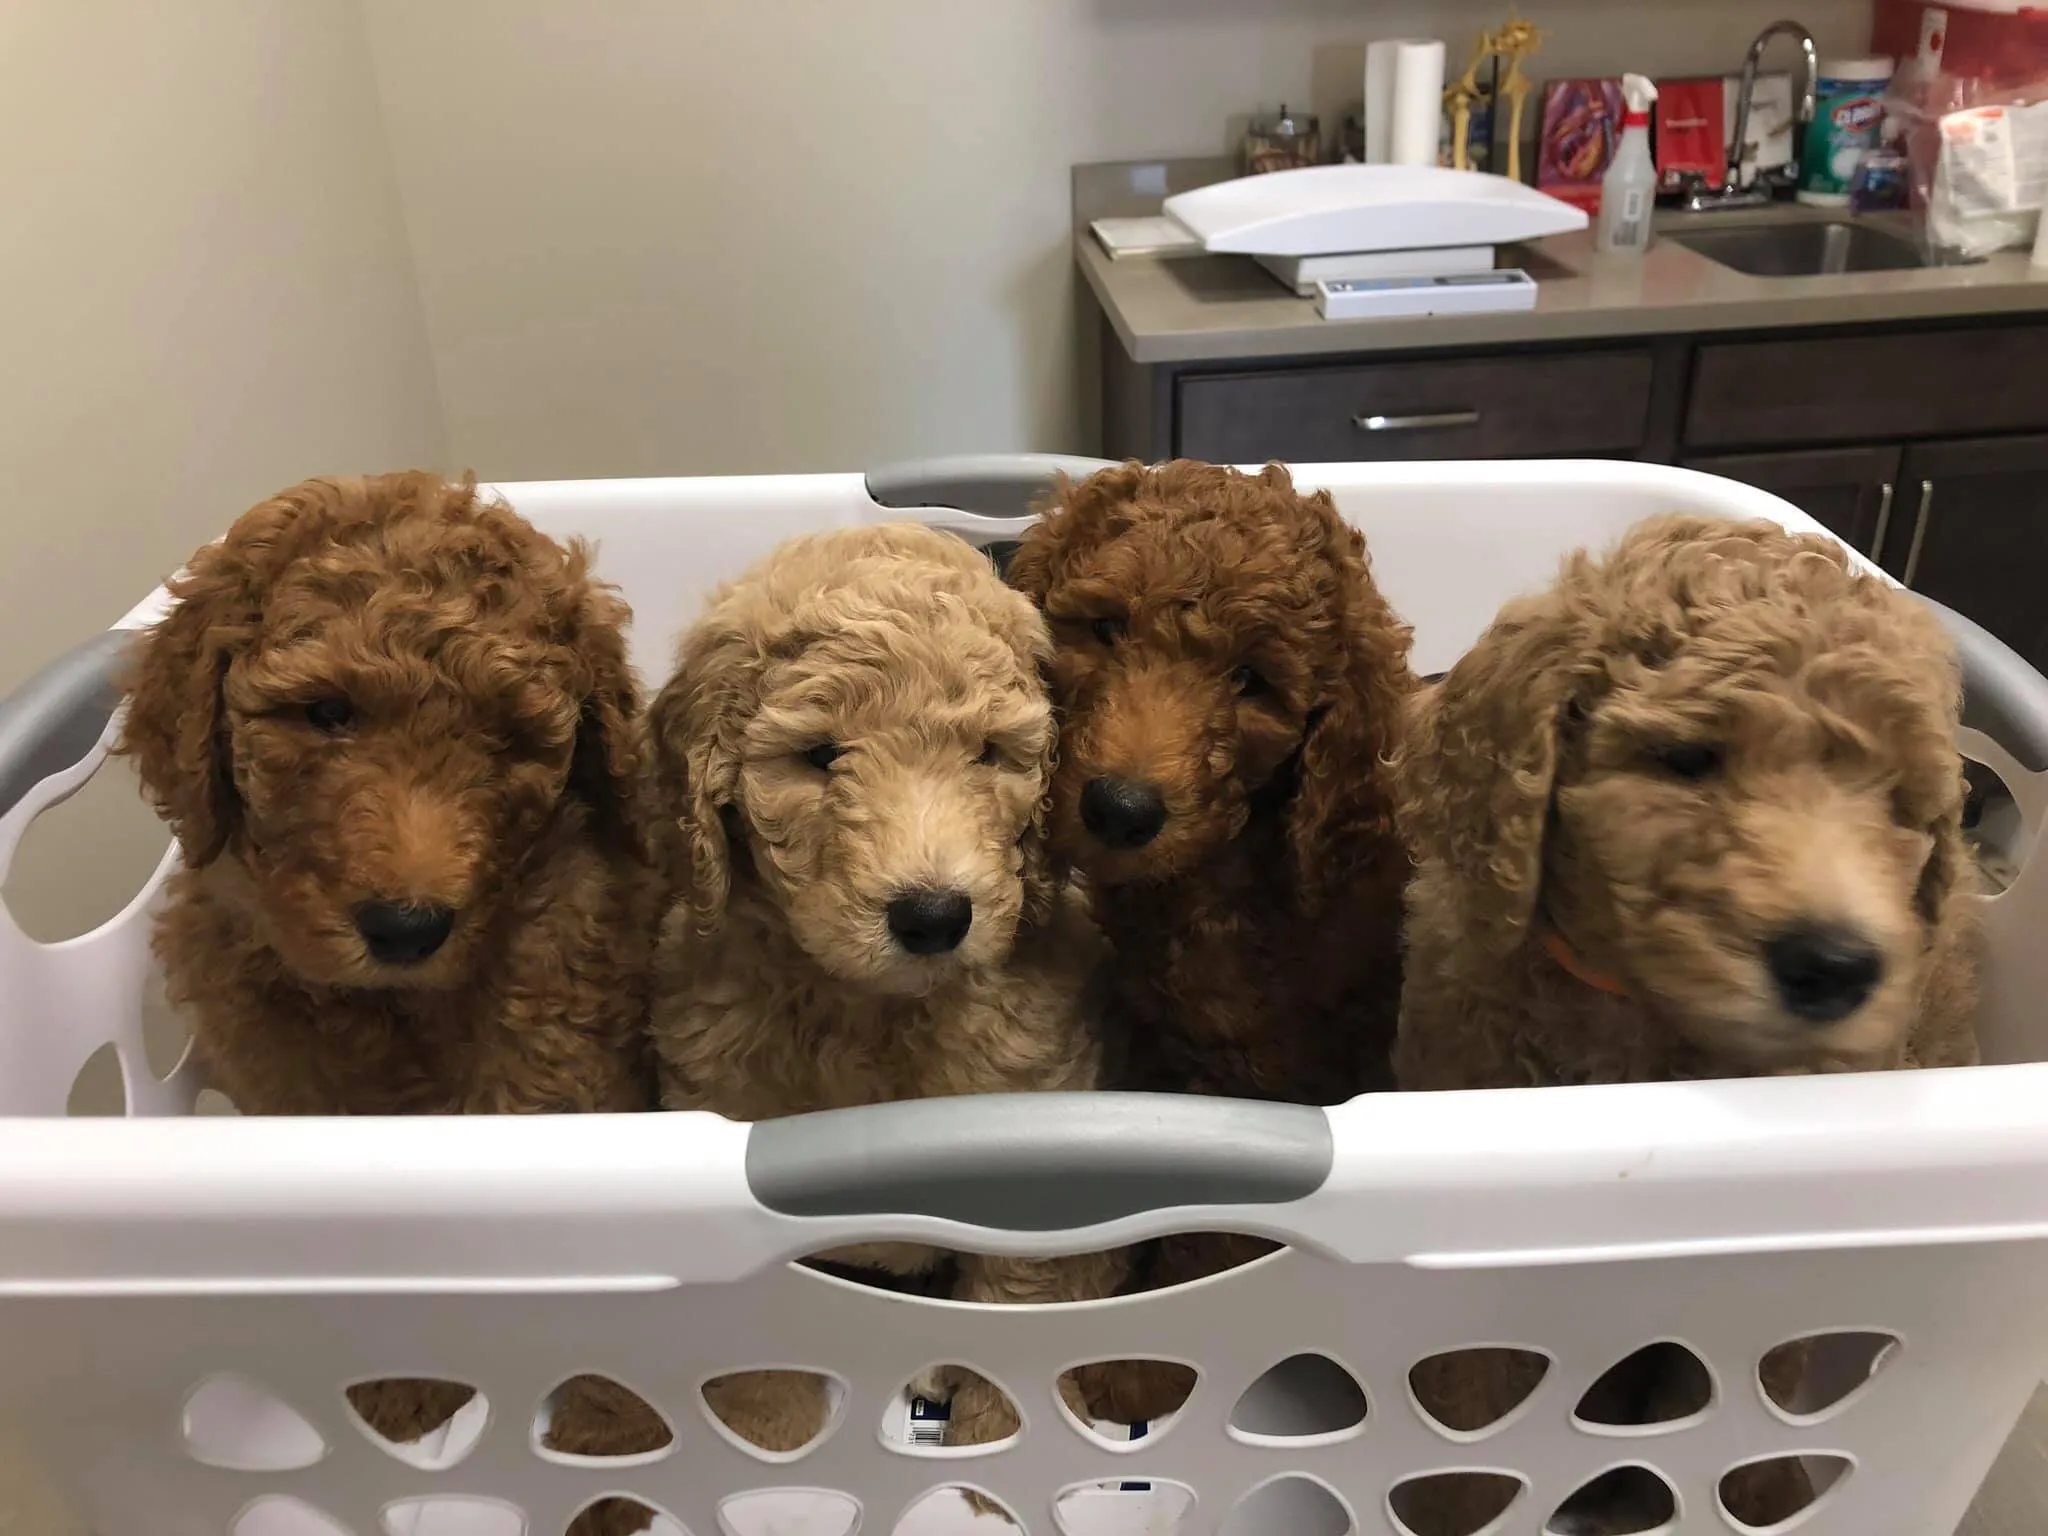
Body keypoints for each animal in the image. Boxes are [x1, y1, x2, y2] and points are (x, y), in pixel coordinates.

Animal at [116, 475, 663, 1531]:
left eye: (509, 738)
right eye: (327, 712)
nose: (408, 926)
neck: (395, 1009)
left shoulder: (553, 1072)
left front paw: (607, 1445)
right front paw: (398, 1390)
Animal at [647, 528, 1130, 1458]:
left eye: (988, 753)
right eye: (820, 755)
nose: (934, 915)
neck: (864, 1011)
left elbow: (1019, 1316)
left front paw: (992, 1444)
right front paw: (769, 1441)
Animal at [1400, 518, 1974, 1536]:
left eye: (1898, 801)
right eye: (1687, 760)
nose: (1836, 965)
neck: (1648, 1031)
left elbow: (1747, 1401)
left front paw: (1754, 1498)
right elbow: (1470, 1408)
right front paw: (1456, 1507)